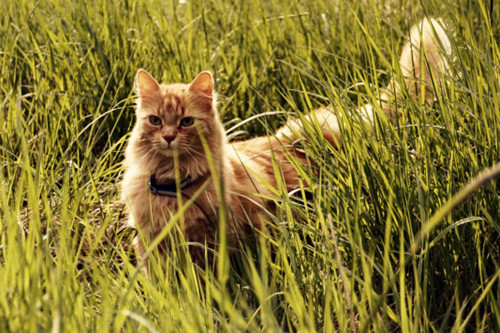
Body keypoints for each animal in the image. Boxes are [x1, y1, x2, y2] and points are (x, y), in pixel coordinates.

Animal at [123, 18, 452, 268]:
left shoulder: (217, 241)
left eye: (186, 122)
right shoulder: (151, 244)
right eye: (155, 120)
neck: (173, 184)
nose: (168, 136)